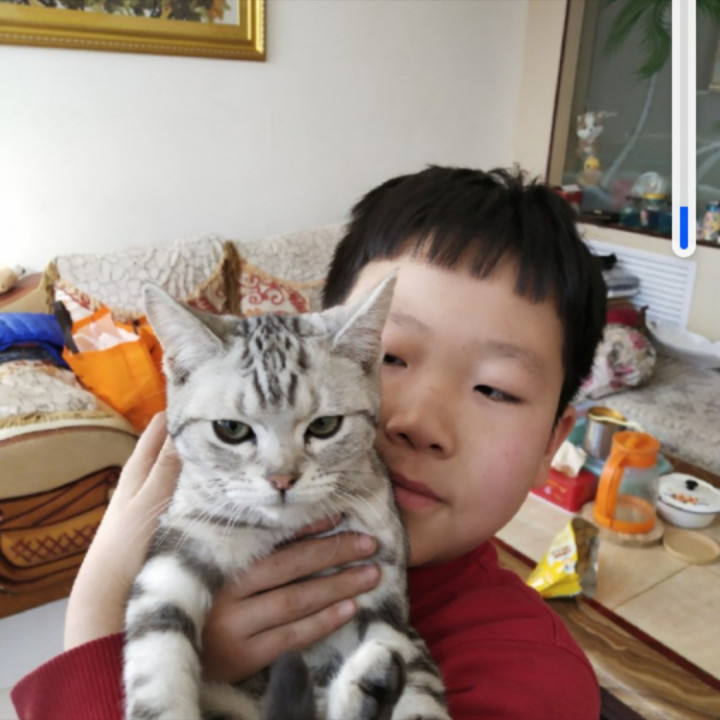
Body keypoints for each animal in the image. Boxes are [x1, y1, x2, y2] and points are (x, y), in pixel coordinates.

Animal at [123, 275, 450, 720]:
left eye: (325, 426)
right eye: (231, 429)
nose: (282, 479)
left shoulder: (387, 598)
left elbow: (419, 692)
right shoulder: (180, 546)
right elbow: (154, 652)